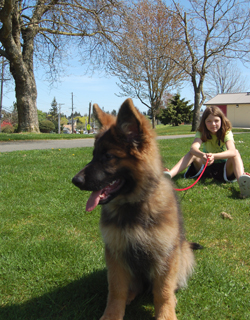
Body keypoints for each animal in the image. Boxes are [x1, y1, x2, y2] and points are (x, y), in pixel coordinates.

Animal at [72, 99, 199, 318]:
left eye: (108, 156)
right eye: (93, 155)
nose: (75, 180)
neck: (135, 204)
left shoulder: (165, 255)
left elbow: (163, 291)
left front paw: (166, 314)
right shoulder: (116, 255)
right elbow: (116, 290)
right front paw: (112, 315)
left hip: (183, 254)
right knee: (135, 287)